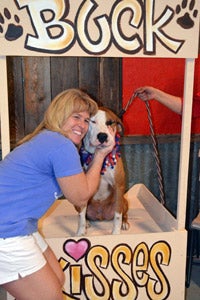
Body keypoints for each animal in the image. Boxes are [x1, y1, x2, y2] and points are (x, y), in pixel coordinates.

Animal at [77, 106, 129, 236]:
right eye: (92, 121)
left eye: (110, 123)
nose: (102, 136)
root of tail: (101, 216)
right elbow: (81, 217)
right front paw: (80, 232)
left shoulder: (119, 186)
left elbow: (118, 215)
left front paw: (115, 233)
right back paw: (87, 223)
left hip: (124, 200)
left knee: (123, 212)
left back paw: (125, 223)